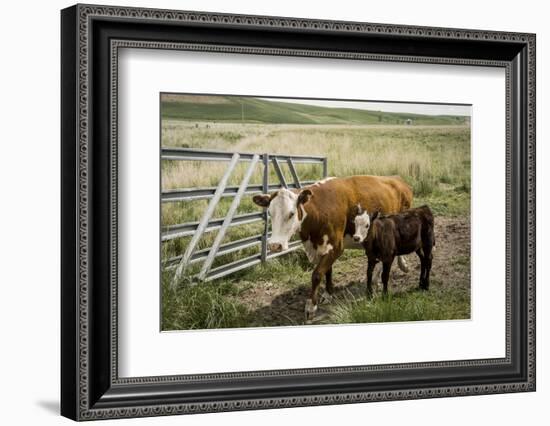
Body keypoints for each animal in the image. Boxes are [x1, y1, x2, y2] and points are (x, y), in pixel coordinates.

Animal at [254, 175, 414, 322]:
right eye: (270, 213)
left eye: (291, 214)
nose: (275, 245)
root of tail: (397, 179)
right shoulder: (321, 247)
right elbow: (328, 271)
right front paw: (328, 293)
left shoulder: (337, 247)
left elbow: (317, 274)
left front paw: (311, 307)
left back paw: (393, 270)